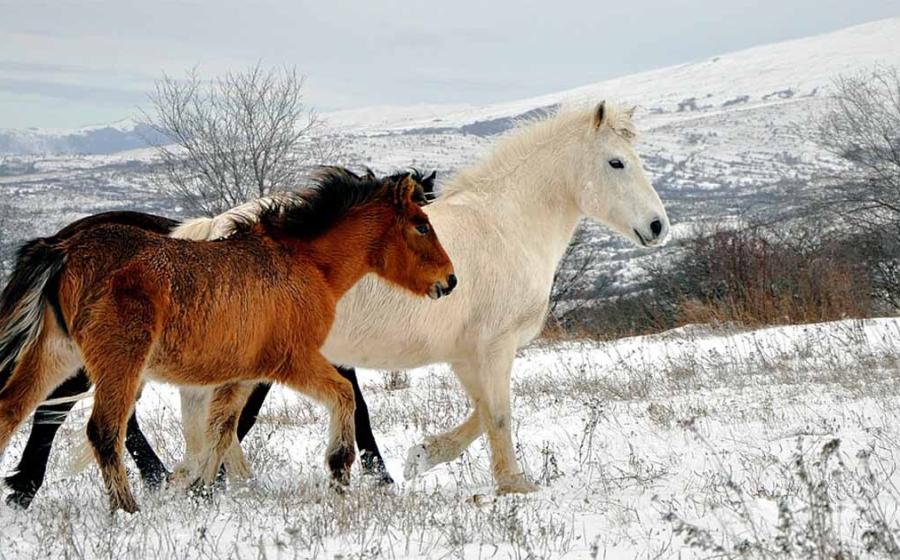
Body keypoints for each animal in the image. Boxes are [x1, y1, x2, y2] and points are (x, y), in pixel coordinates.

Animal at [0, 167, 456, 512]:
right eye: (421, 225)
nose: (449, 281)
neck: (304, 263)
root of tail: (62, 247)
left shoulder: (241, 374)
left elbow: (221, 428)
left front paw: (204, 489)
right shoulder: (293, 361)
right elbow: (346, 398)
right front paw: (341, 473)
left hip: (57, 355)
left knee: (13, 410)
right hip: (116, 361)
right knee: (102, 429)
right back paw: (127, 508)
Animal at [175, 101, 669, 494]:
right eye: (616, 163)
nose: (658, 226)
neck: (505, 227)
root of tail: (210, 231)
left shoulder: (467, 354)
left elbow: (481, 413)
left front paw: (422, 456)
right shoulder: (495, 347)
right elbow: (499, 415)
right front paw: (514, 484)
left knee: (214, 421)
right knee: (219, 421)